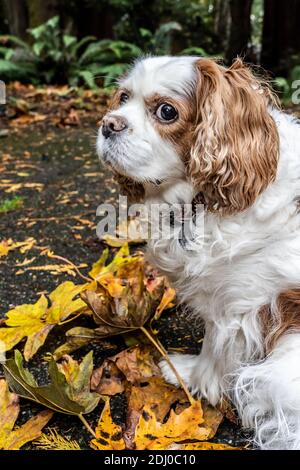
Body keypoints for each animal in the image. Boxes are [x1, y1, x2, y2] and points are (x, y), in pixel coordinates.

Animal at [96, 55, 300, 448]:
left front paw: (190, 375)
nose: (108, 123)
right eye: (123, 97)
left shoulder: (238, 303)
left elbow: (215, 349)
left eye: (166, 111)